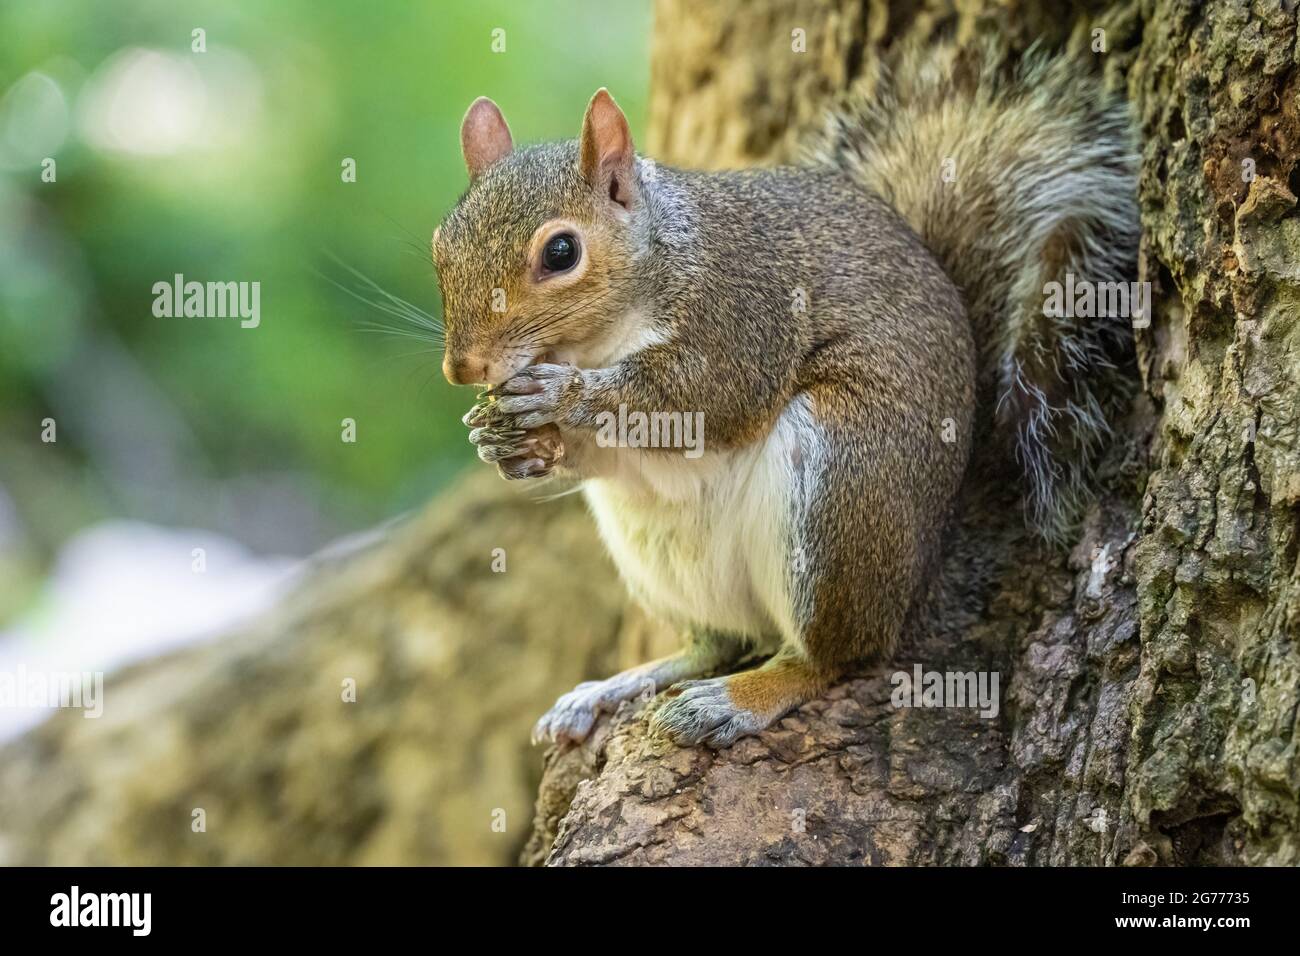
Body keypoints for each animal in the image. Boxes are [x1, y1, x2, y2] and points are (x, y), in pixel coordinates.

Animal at [431, 39, 1139, 748]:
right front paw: (508, 443)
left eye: (560, 252)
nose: (463, 369)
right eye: (441, 246)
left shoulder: (744, 314)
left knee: (834, 657)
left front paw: (564, 395)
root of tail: (925, 558)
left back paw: (736, 699)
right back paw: (618, 686)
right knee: (716, 643)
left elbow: (696, 398)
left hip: (841, 483)